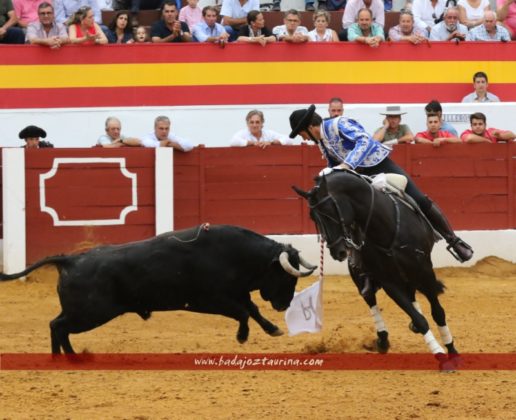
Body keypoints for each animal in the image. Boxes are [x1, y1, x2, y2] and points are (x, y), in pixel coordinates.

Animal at [0, 225, 316, 352]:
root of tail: (70, 259)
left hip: (85, 313)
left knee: (58, 327)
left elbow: (251, 309)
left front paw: (272, 329)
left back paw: (65, 358)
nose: (284, 304)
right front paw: (242, 336)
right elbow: (243, 312)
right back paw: (67, 358)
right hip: (90, 313)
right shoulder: (209, 300)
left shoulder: (235, 293)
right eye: (287, 278)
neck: (236, 255)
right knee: (57, 326)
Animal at [294, 169, 460, 370]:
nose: (337, 251)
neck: (385, 227)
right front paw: (439, 354)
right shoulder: (389, 281)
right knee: (371, 299)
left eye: (329, 211)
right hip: (362, 276)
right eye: (313, 217)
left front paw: (452, 352)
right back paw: (382, 340)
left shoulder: (425, 272)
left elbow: (438, 313)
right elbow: (420, 321)